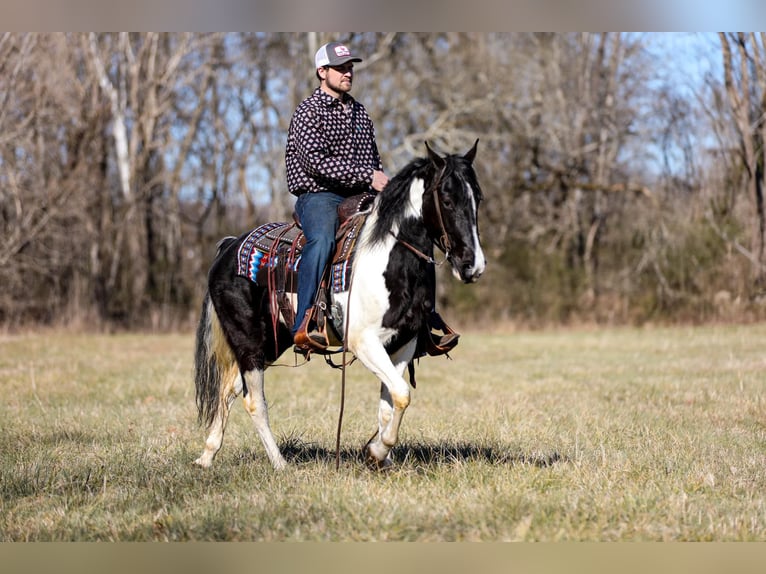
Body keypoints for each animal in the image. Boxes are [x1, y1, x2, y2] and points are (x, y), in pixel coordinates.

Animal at [195, 141, 488, 472]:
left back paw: (207, 456)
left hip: (271, 342)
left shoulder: (403, 343)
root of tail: (230, 246)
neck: (389, 258)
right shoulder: (364, 342)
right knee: (253, 400)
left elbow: (390, 403)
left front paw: (380, 458)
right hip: (249, 343)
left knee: (229, 389)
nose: (472, 265)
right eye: (447, 200)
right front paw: (376, 451)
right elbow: (402, 395)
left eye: (477, 199)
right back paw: (280, 463)